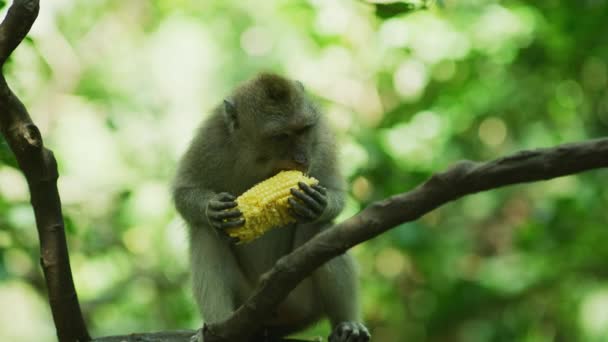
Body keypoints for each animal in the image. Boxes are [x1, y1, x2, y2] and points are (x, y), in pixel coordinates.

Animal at [172, 73, 370, 342]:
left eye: (303, 130)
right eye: (281, 136)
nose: (302, 159)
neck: (259, 160)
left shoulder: (321, 138)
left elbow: (334, 192)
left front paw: (319, 204)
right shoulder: (211, 140)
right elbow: (183, 192)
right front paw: (212, 210)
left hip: (301, 302)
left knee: (324, 231)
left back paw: (348, 325)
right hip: (246, 300)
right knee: (206, 233)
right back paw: (218, 327)